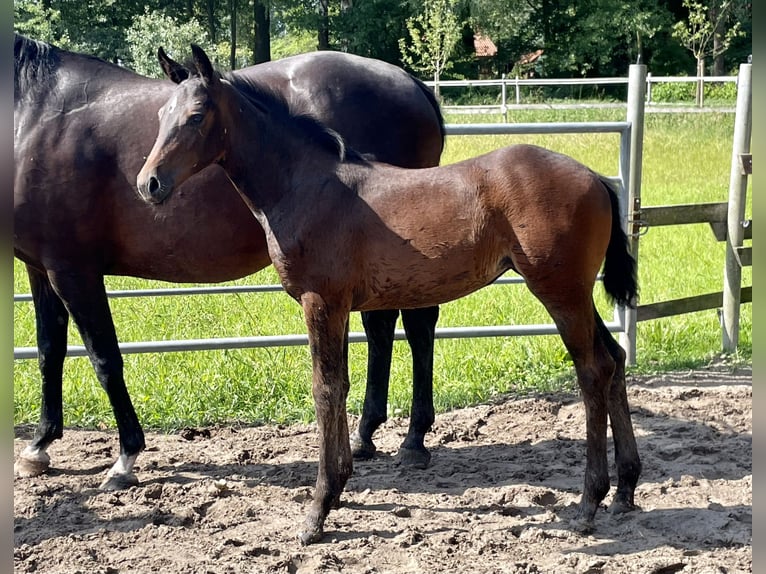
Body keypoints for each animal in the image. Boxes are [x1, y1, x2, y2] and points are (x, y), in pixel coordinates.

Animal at [12, 32, 448, 490]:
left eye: (195, 117)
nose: (148, 184)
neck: (36, 113)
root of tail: (410, 83)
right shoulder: (40, 267)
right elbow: (49, 350)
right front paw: (39, 446)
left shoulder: (73, 269)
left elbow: (104, 359)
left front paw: (125, 457)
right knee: (382, 328)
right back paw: (366, 435)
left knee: (418, 326)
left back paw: (414, 441)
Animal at [136, 47, 640, 548]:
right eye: (160, 115)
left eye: (196, 115)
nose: (148, 184)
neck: (308, 185)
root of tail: (596, 178)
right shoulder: (338, 306)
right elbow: (339, 387)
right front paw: (339, 487)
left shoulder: (321, 301)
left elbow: (325, 390)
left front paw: (318, 510)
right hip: (576, 293)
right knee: (614, 359)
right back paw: (625, 489)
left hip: (560, 292)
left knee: (593, 370)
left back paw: (590, 502)